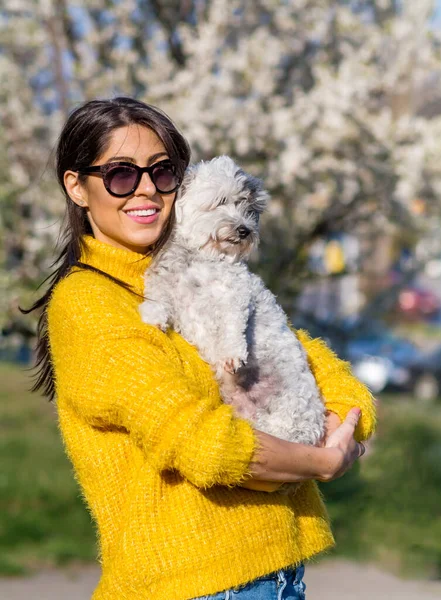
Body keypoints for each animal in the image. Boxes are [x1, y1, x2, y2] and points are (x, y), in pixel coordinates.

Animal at [139, 157, 324, 448]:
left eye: (247, 207)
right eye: (221, 201)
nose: (244, 230)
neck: (198, 257)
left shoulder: (234, 294)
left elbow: (231, 325)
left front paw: (230, 356)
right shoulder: (166, 281)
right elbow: (158, 295)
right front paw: (153, 314)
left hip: (292, 405)